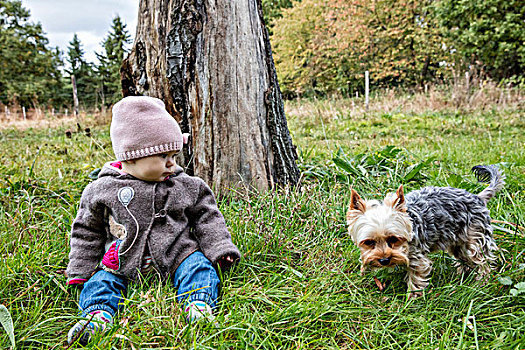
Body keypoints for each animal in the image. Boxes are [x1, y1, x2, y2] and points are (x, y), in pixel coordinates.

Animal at [344, 165, 504, 296]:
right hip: (458, 242)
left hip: (475, 238)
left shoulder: (417, 257)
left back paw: (480, 283)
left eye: (394, 239)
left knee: (481, 260)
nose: (384, 260)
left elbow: (416, 279)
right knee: (464, 259)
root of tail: (478, 197)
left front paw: (411, 301)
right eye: (369, 242)